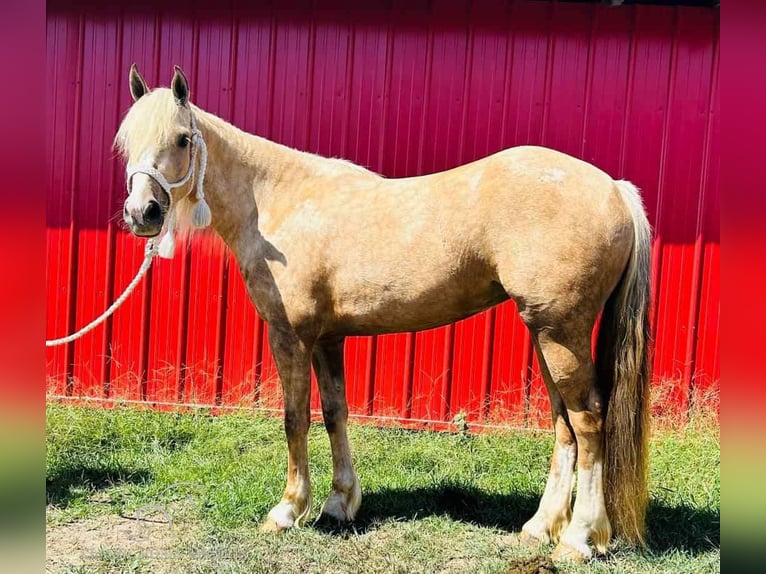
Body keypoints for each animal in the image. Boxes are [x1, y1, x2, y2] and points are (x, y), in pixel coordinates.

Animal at [117, 66, 652, 564]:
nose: (142, 213)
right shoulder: (328, 339)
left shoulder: (290, 335)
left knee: (589, 422)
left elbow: (295, 418)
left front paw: (288, 510)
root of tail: (615, 188)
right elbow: (334, 413)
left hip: (562, 333)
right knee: (565, 426)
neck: (277, 200)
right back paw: (540, 528)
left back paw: (578, 540)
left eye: (181, 138)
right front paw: (339, 504)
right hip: (545, 333)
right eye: (127, 144)